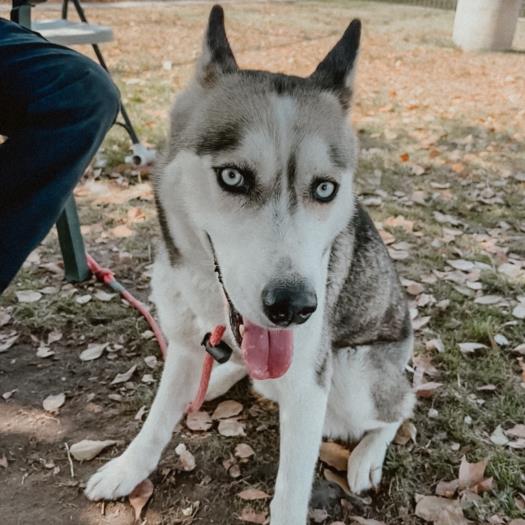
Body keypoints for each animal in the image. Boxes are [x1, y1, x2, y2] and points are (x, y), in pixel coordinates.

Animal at [85, 5, 414, 524]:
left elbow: (291, 490)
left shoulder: (308, 387)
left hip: (352, 377)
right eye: (233, 177)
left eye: (325, 188)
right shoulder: (182, 344)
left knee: (400, 407)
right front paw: (127, 468)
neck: (214, 308)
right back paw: (218, 379)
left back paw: (367, 456)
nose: (294, 307)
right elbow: (157, 418)